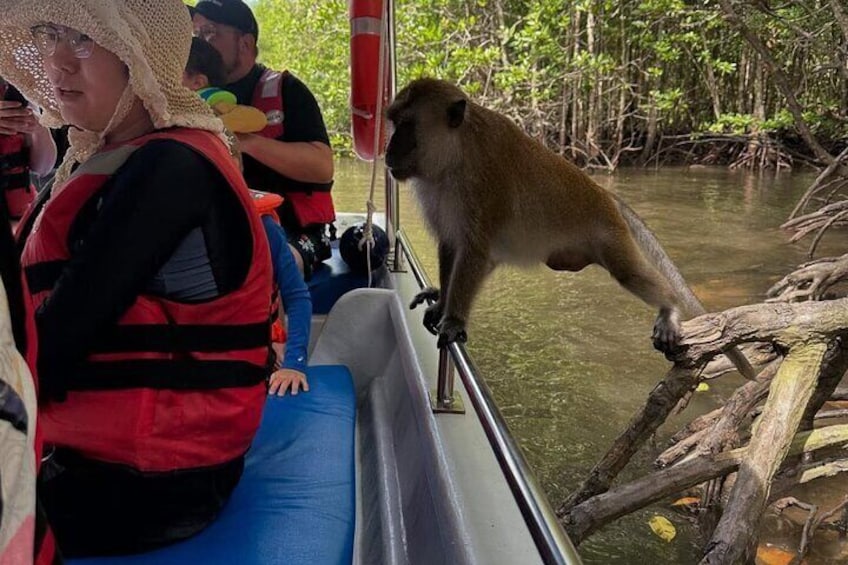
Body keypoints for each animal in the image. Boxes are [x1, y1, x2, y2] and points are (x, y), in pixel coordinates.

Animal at [384, 78, 756, 379]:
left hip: (608, 232)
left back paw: (670, 308)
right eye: (395, 123)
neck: (454, 154)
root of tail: (601, 192)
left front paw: (455, 320)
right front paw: (443, 303)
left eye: (406, 126)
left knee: (628, 272)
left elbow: (474, 249)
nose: (388, 150)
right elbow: (453, 246)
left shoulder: (483, 185)